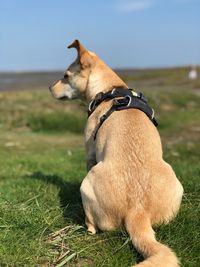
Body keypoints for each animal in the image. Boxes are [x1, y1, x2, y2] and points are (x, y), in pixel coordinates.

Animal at [49, 40, 184, 267]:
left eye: (66, 76)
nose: (49, 88)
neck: (111, 89)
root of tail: (137, 212)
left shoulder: (90, 153)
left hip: (86, 186)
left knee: (93, 225)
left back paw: (86, 226)